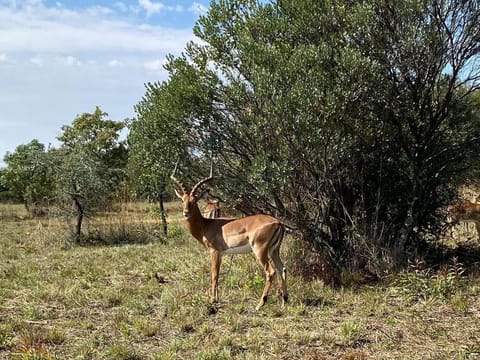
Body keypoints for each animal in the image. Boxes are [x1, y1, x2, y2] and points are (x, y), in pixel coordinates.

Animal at [171, 163, 286, 310]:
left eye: (194, 200)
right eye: (182, 200)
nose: (185, 213)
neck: (205, 225)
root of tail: (278, 222)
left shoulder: (214, 252)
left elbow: (214, 274)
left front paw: (212, 300)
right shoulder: (220, 254)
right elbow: (218, 273)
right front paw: (216, 298)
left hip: (260, 251)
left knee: (270, 272)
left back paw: (260, 304)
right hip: (274, 250)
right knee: (282, 269)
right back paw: (284, 301)